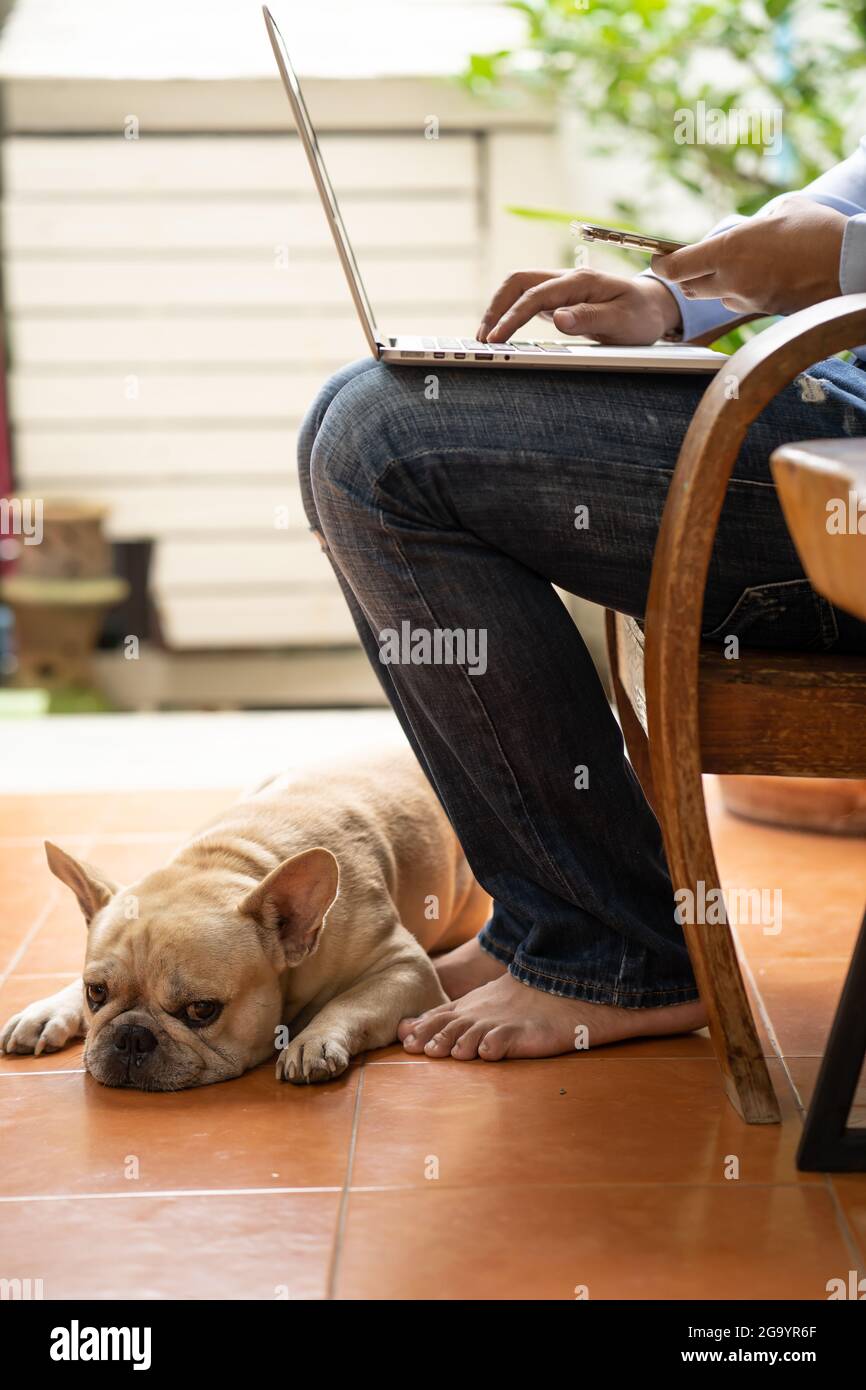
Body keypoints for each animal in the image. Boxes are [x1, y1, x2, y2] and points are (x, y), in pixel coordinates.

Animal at [0, 756, 489, 1089]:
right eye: (95, 993)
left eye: (201, 1010)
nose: (131, 1037)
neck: (234, 858)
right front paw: (51, 1009)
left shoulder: (406, 969)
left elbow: (349, 1001)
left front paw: (312, 1040)